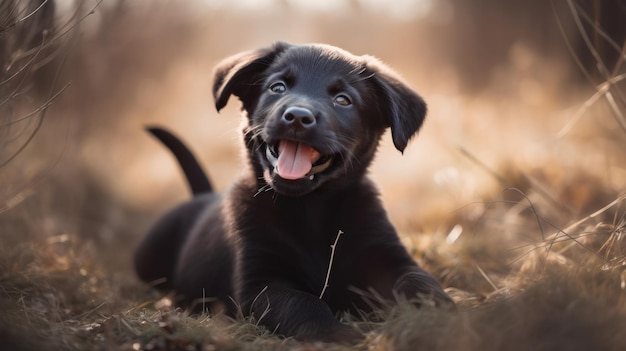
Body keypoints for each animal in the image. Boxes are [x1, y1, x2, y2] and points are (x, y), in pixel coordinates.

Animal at [134, 42, 450, 344]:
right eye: (278, 87)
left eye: (343, 100)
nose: (298, 116)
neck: (309, 210)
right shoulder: (260, 282)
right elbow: (302, 302)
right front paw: (335, 334)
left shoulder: (390, 259)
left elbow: (420, 283)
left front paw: (446, 318)